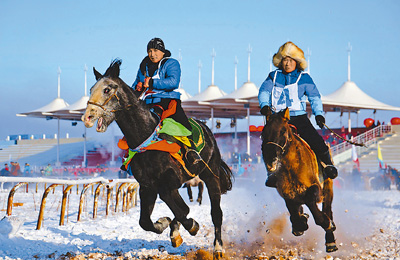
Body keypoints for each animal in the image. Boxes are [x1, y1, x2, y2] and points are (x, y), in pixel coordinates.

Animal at [262, 107, 338, 252]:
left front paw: (326, 223)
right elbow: (294, 212)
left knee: (328, 210)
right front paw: (300, 223)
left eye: (283, 131)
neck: (292, 167)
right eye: (263, 132)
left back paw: (331, 241)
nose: (270, 159)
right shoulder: (287, 193)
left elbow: (311, 201)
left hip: (328, 188)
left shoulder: (316, 188)